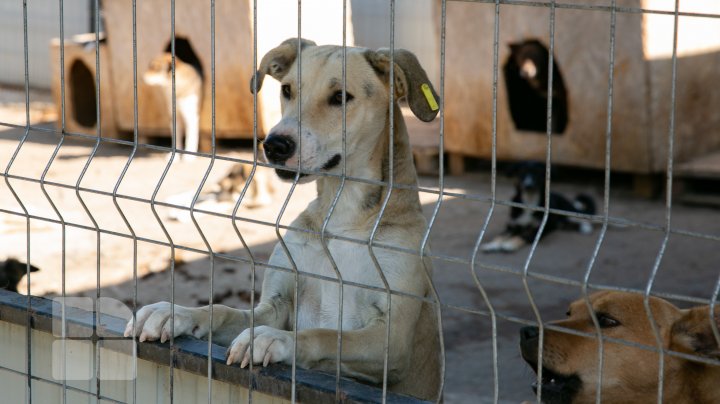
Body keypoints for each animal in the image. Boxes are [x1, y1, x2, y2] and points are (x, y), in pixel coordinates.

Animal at [130, 38, 444, 400]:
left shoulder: (392, 340)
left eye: (340, 97)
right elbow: (221, 310)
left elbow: (328, 336)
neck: (343, 215)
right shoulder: (275, 305)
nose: (274, 145)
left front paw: (277, 339)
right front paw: (175, 313)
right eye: (287, 90)